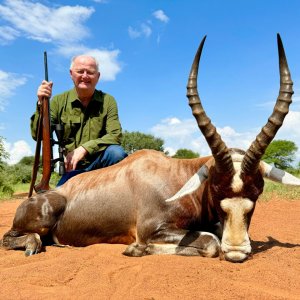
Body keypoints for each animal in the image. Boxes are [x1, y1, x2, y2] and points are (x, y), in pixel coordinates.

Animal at [1, 34, 298, 262]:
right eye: (215, 188)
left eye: (258, 191)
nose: (236, 253)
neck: (177, 176)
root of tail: (46, 194)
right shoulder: (151, 229)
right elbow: (211, 242)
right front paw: (135, 249)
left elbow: (214, 234)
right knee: (11, 237)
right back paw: (33, 244)